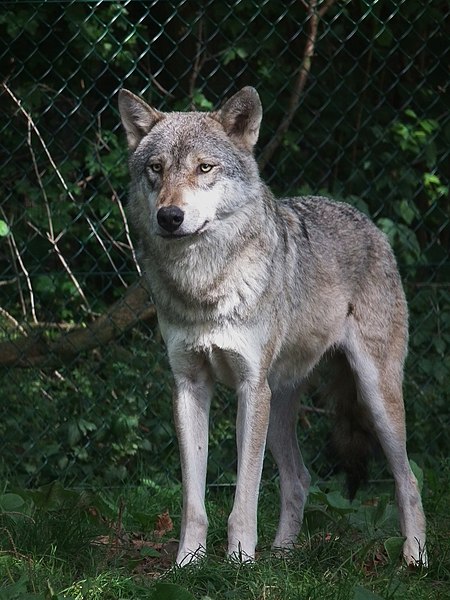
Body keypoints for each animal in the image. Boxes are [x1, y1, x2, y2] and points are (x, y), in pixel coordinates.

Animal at [118, 85, 428, 568]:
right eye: (156, 169)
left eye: (204, 167)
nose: (169, 217)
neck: (206, 286)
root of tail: (370, 223)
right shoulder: (189, 386)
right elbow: (193, 500)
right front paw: (187, 564)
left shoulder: (250, 387)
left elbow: (244, 494)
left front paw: (240, 562)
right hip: (280, 406)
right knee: (300, 478)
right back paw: (282, 556)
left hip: (373, 396)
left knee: (408, 479)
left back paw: (414, 560)